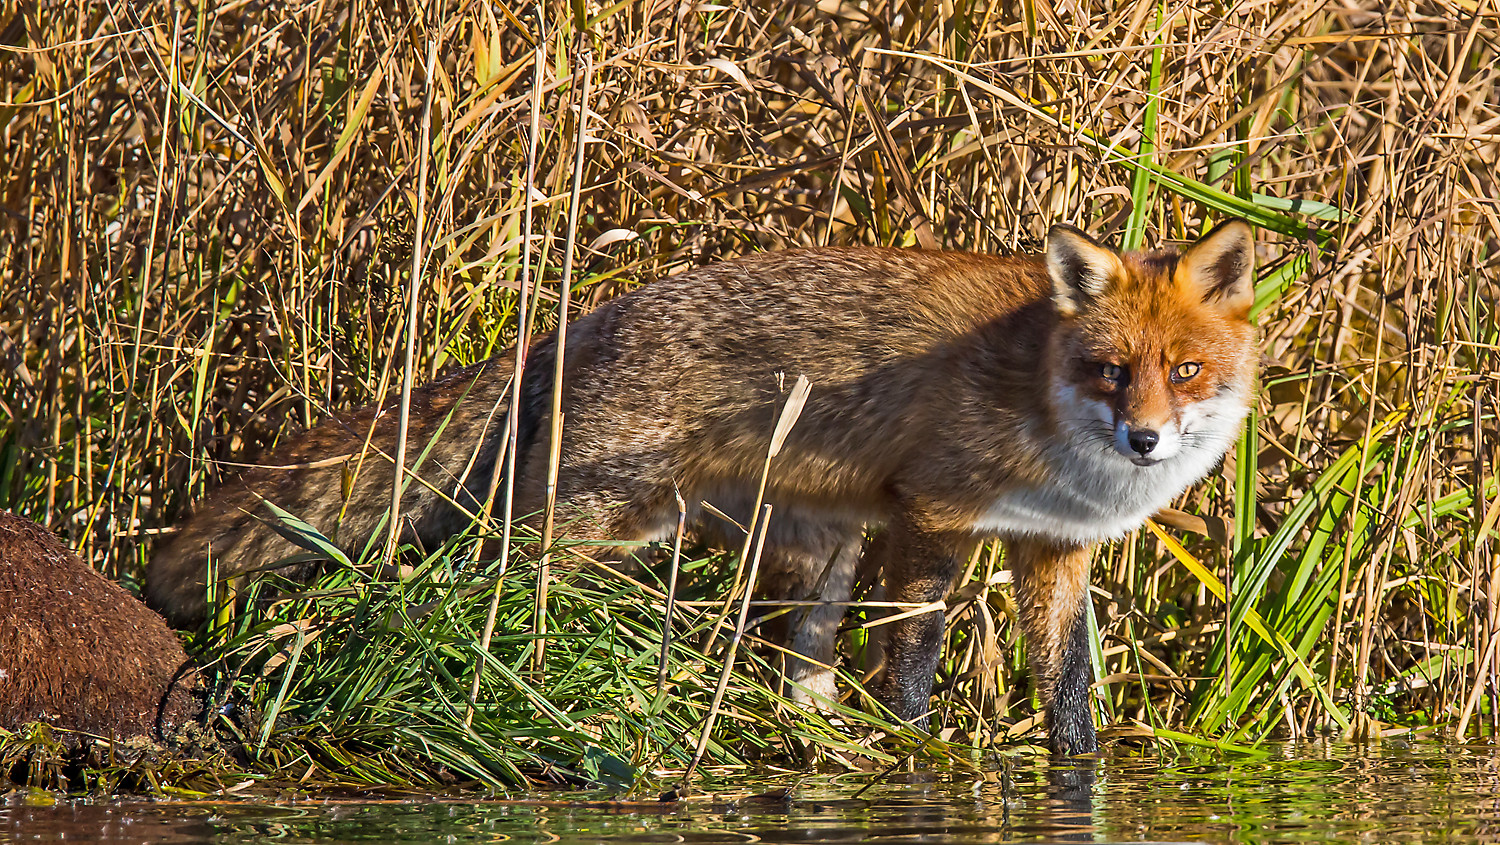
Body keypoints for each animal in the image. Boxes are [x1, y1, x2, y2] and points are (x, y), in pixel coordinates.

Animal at [146, 216, 1260, 753]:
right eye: (1109, 369)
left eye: (1185, 369)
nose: (1146, 439)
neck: (1041, 404)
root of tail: (580, 321)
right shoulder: (932, 514)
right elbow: (911, 668)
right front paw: (921, 761)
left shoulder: (1053, 547)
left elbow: (1068, 688)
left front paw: (1078, 776)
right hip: (585, 528)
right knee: (463, 601)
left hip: (812, 553)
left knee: (796, 677)